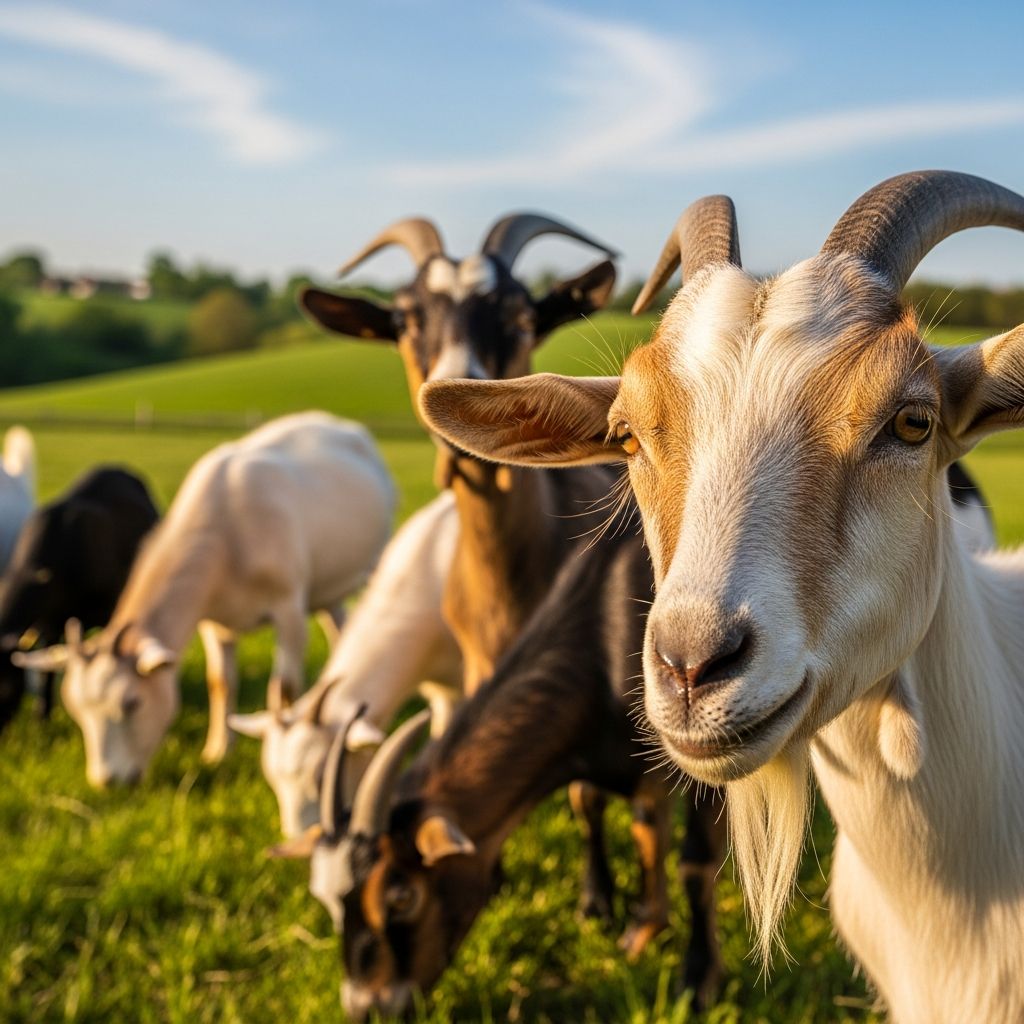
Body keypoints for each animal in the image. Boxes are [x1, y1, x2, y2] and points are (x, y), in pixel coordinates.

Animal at [17, 413, 395, 787]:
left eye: (132, 703)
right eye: (76, 710)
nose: (107, 781)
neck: (227, 533)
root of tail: (338, 423)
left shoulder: (288, 607)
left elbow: (284, 689)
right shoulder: (214, 620)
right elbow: (220, 683)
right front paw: (217, 751)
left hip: (373, 563)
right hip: (328, 589)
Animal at [311, 513, 725, 1021]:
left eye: (402, 895)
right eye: (327, 901)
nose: (363, 1008)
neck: (608, 634)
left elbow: (695, 863)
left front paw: (698, 980)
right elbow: (606, 813)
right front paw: (619, 916)